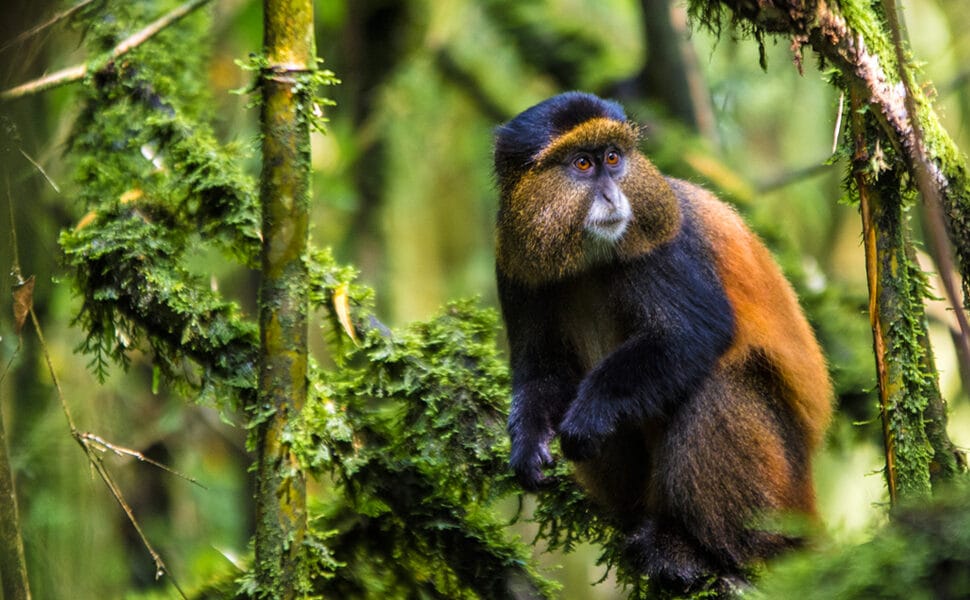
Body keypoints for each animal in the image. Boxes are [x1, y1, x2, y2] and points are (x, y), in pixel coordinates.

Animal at [493, 92, 832, 590]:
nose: (613, 195)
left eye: (613, 159)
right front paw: (528, 441)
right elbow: (543, 371)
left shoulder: (663, 245)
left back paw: (698, 550)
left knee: (717, 384)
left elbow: (693, 334)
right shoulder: (515, 265)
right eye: (582, 163)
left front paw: (590, 412)